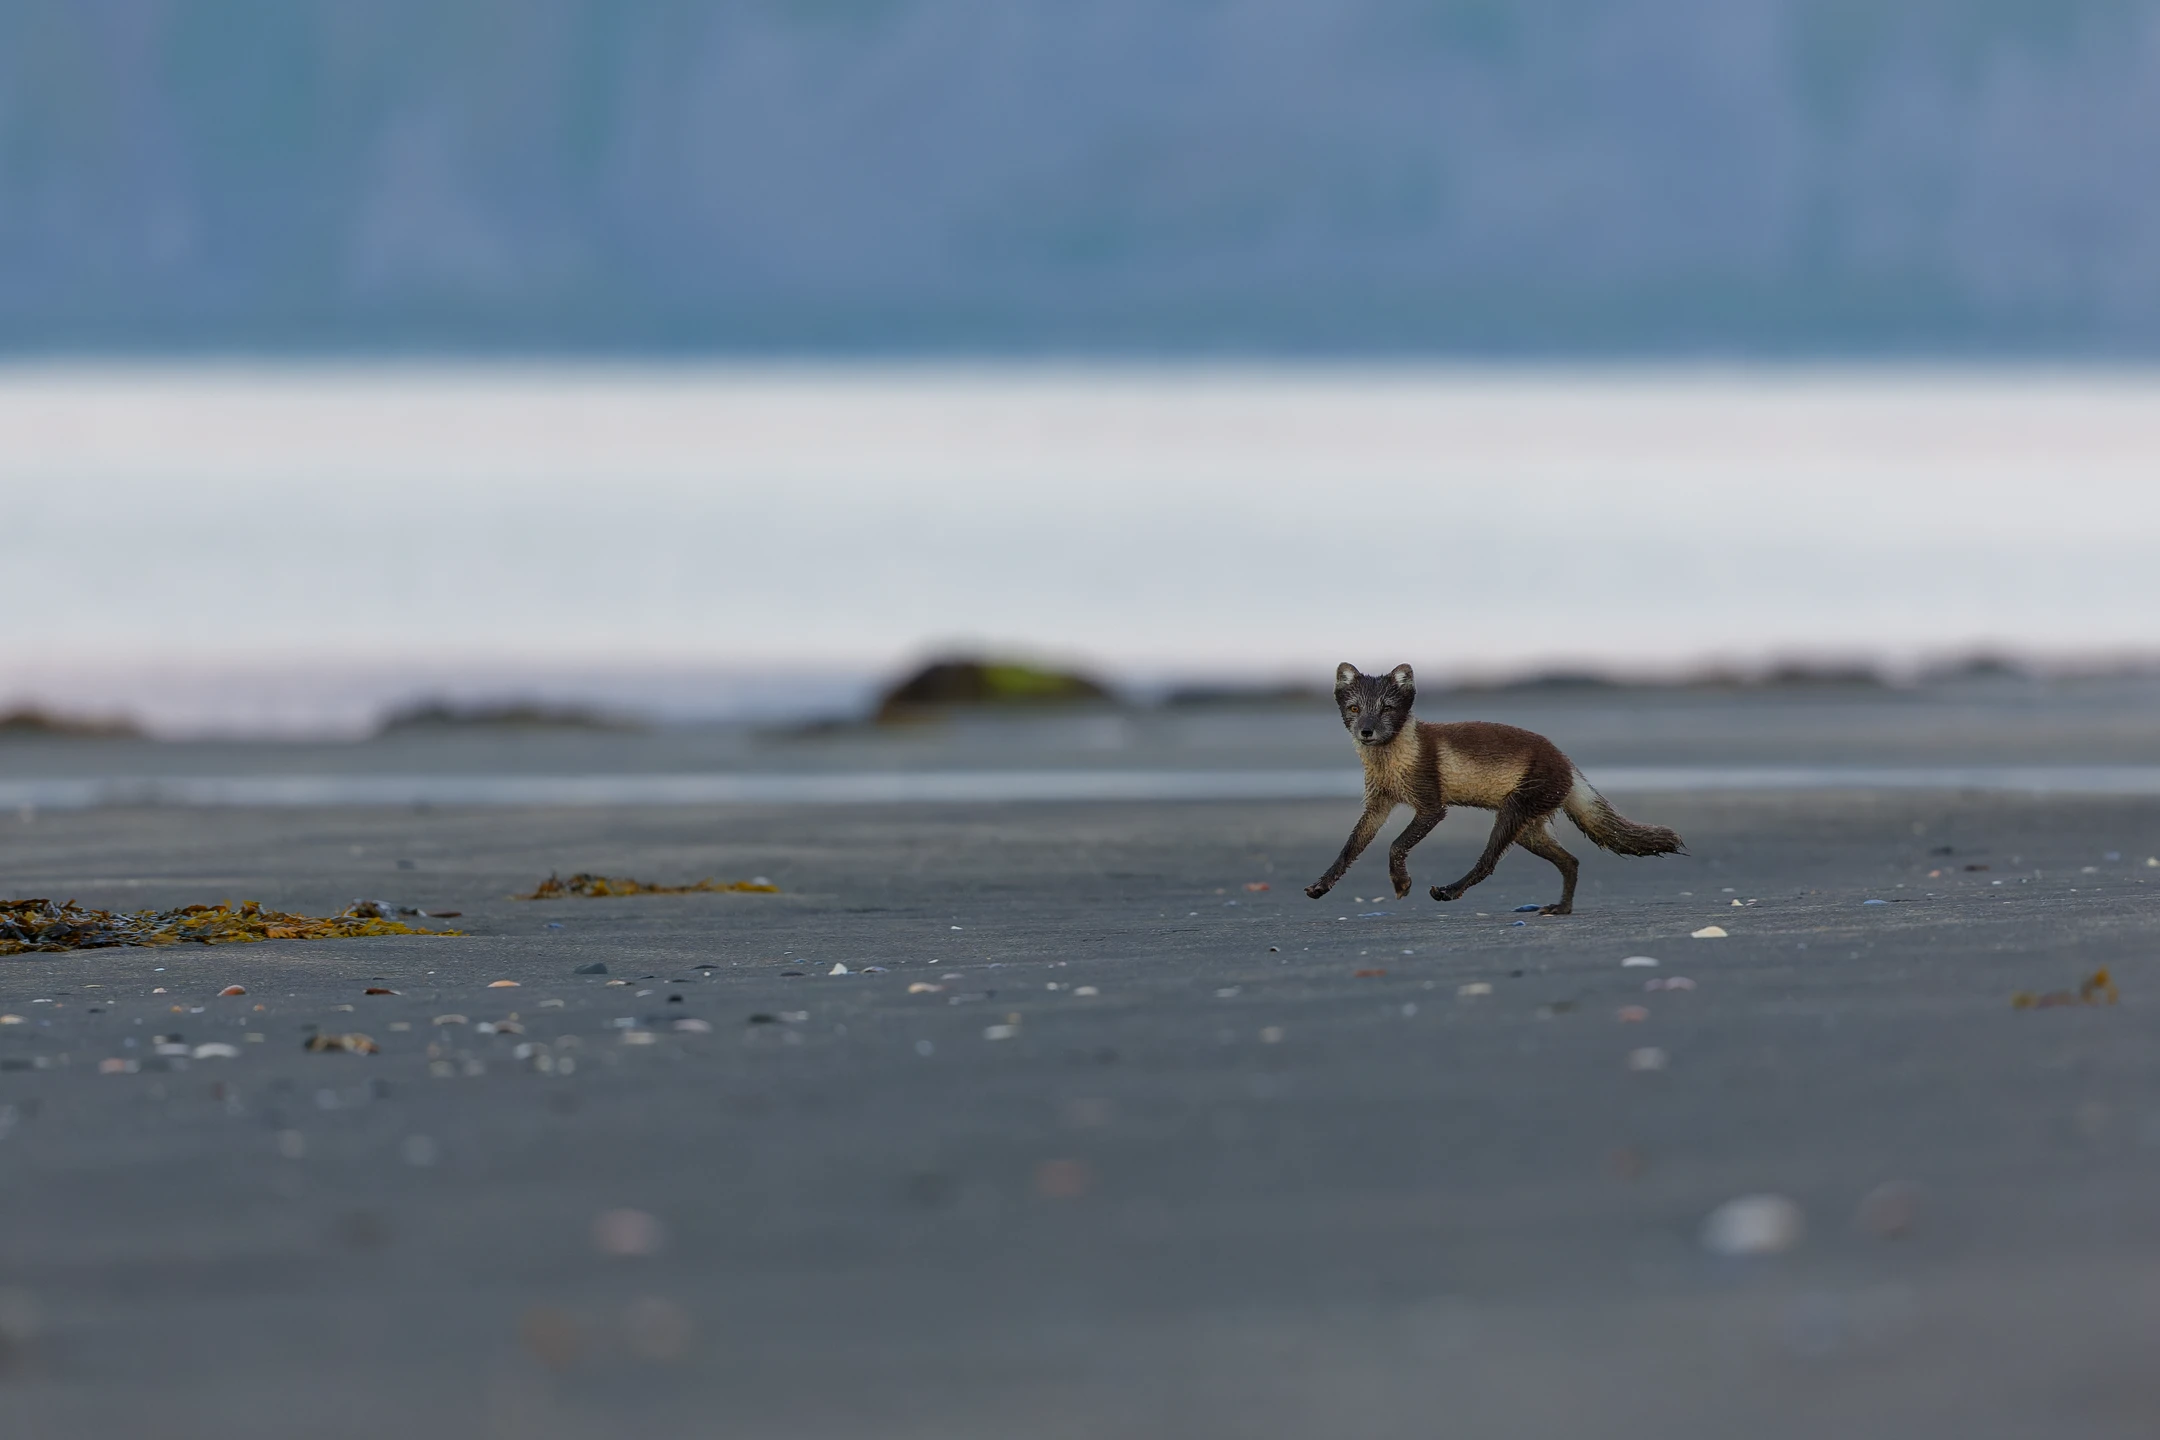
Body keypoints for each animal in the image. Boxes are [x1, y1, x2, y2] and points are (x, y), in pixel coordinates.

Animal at [1306, 663, 1683, 914]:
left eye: (1387, 708)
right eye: (1354, 708)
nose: (1366, 731)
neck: (1391, 763)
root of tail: (1568, 763)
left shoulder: (1431, 805)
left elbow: (1396, 845)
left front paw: (1401, 884)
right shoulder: (1378, 803)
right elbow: (1349, 849)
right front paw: (1320, 886)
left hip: (1513, 812)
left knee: (1488, 862)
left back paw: (1449, 891)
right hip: (1529, 830)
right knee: (1571, 861)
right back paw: (1561, 909)